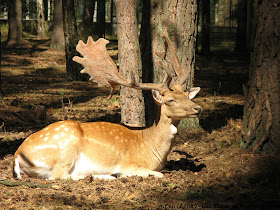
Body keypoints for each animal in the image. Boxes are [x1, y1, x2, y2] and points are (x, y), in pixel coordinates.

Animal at [13, 33, 201, 180]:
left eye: (187, 96)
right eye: (170, 100)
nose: (198, 108)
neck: (151, 148)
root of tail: (17, 156)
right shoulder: (129, 163)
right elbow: (158, 174)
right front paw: (124, 174)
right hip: (65, 146)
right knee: (59, 176)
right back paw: (106, 176)